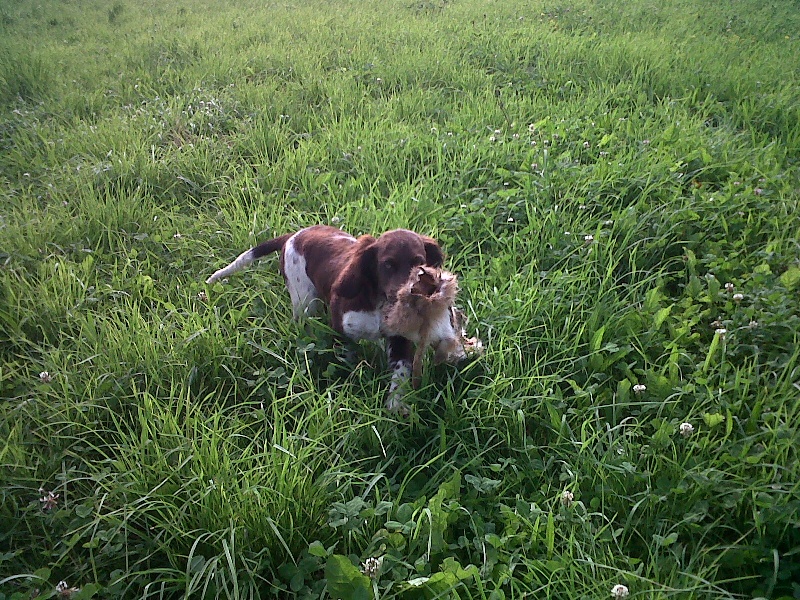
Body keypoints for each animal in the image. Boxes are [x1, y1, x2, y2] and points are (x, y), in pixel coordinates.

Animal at [206, 225, 466, 412]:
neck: (378, 303)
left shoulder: (398, 339)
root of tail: (293, 235)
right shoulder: (341, 331)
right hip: (303, 301)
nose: (410, 293)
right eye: (388, 265)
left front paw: (397, 408)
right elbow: (347, 360)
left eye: (419, 262)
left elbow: (400, 373)